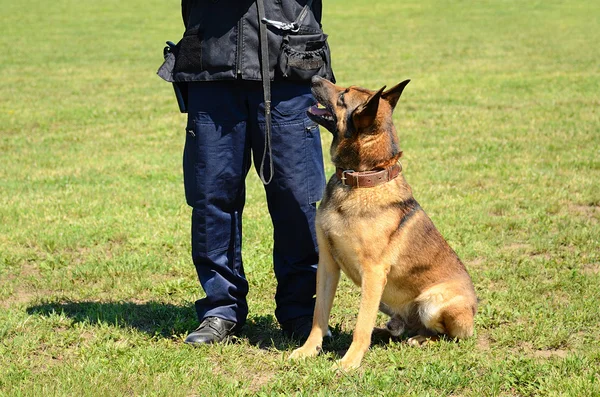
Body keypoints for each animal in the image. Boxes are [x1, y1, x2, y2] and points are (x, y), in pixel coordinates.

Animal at [288, 76, 476, 368]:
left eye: (343, 96)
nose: (314, 77)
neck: (360, 178)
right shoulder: (327, 265)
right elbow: (319, 316)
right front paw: (309, 350)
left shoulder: (374, 273)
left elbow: (361, 325)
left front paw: (349, 362)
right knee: (399, 328)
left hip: (433, 302)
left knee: (443, 335)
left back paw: (420, 339)